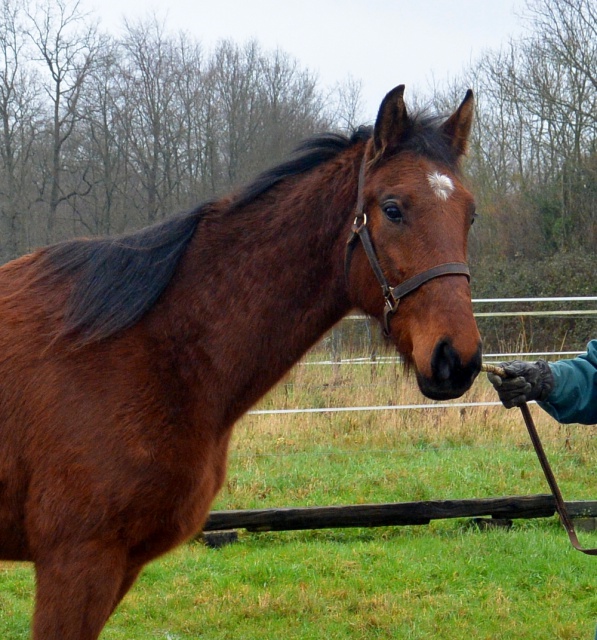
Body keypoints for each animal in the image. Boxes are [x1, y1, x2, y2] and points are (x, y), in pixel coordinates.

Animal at [0, 84, 480, 636]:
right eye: (394, 209)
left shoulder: (117, 563)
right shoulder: (76, 560)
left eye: (470, 214)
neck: (152, 351)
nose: (457, 358)